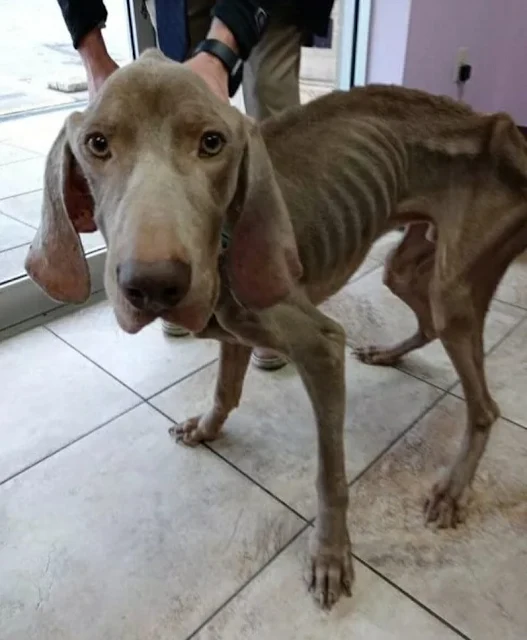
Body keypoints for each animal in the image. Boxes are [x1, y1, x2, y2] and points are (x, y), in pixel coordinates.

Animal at [25, 49, 527, 609]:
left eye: (212, 142)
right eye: (97, 143)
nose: (153, 286)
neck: (223, 245)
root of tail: (500, 125)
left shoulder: (321, 346)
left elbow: (330, 475)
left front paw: (330, 555)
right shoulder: (235, 336)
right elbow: (225, 390)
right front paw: (206, 429)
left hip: (455, 291)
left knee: (484, 406)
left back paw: (453, 489)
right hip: (408, 267)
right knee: (424, 321)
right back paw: (388, 355)